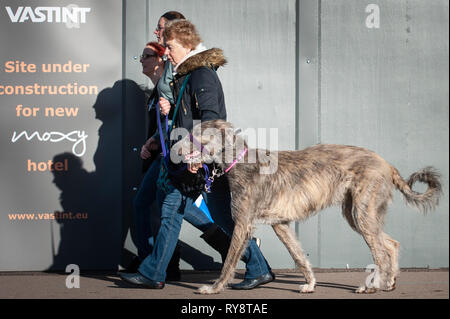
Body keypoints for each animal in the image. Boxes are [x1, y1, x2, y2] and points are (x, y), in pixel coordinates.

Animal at [173, 119, 442, 296]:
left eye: (197, 133)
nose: (173, 149)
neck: (241, 161)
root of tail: (386, 163)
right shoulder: (280, 225)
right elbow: (299, 256)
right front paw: (311, 284)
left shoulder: (242, 223)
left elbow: (229, 260)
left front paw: (214, 288)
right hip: (359, 215)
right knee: (391, 244)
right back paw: (389, 281)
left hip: (362, 213)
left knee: (381, 252)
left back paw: (373, 285)